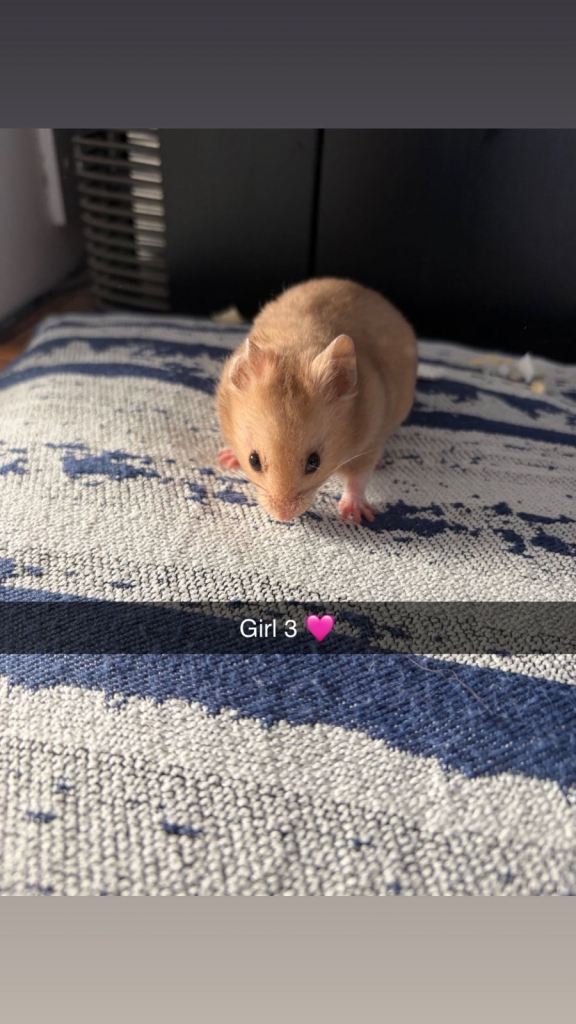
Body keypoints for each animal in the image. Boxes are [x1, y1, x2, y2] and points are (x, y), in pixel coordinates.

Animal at [216, 277, 417, 524]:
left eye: (314, 462)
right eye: (253, 460)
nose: (283, 517)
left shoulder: (368, 438)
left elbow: (358, 478)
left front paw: (355, 516)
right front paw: (226, 458)